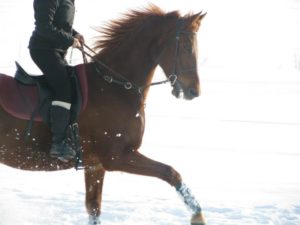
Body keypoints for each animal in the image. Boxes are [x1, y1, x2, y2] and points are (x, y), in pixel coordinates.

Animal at [0, 3, 206, 225]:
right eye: (186, 47)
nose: (194, 91)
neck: (115, 86)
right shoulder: (116, 157)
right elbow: (171, 173)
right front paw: (198, 216)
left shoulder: (95, 165)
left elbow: (94, 208)